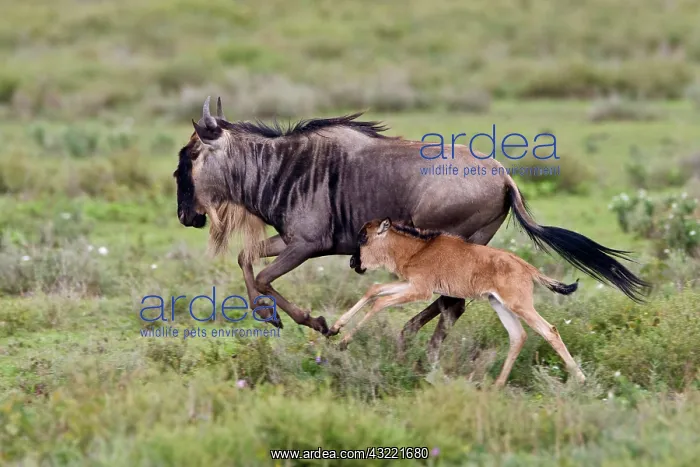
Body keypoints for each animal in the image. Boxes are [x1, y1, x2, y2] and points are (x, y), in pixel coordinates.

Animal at [328, 218, 587, 387]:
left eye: (364, 237)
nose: (353, 262)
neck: (419, 249)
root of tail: (526, 266)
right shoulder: (412, 284)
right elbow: (374, 290)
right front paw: (334, 328)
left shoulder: (420, 290)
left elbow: (380, 303)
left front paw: (344, 342)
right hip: (500, 304)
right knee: (518, 336)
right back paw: (497, 385)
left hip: (519, 305)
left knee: (549, 330)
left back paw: (581, 379)